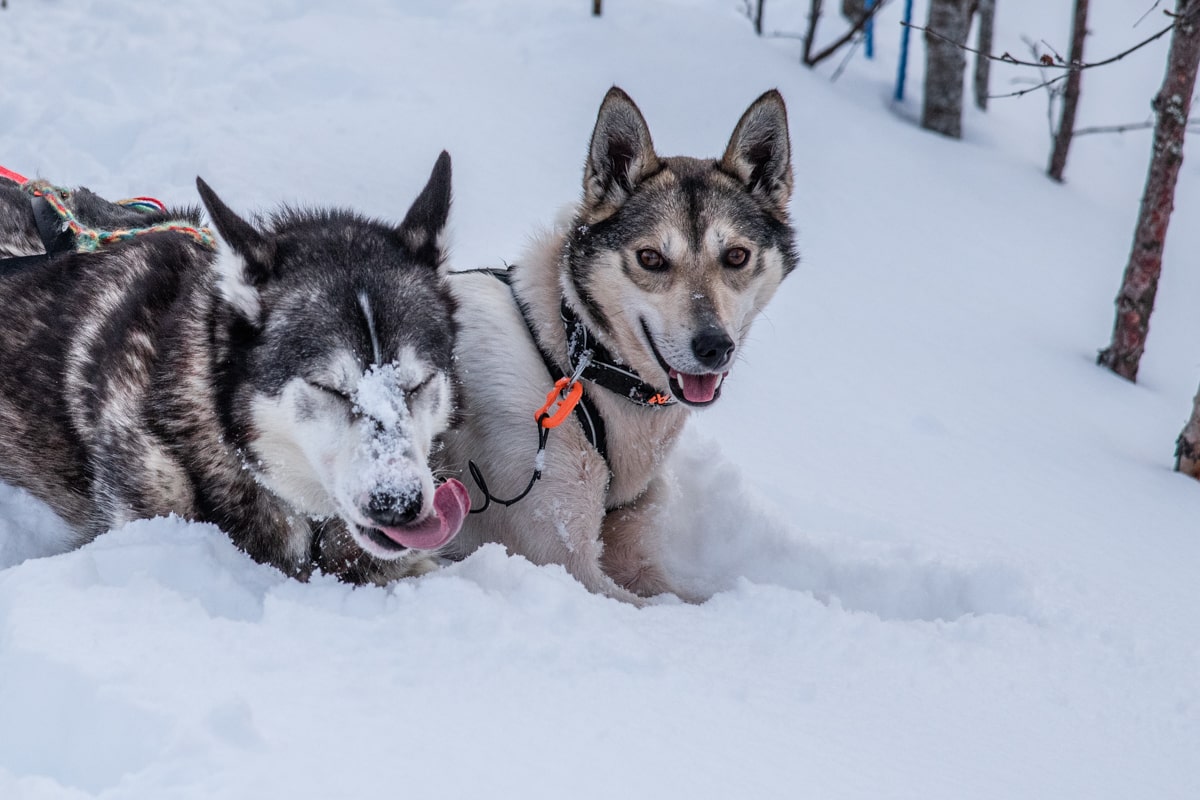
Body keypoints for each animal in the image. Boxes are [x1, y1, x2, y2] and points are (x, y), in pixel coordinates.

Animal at [444, 89, 796, 599]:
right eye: (650, 257)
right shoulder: (569, 566)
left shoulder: (638, 559)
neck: (576, 360)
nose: (714, 346)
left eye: (736, 256)